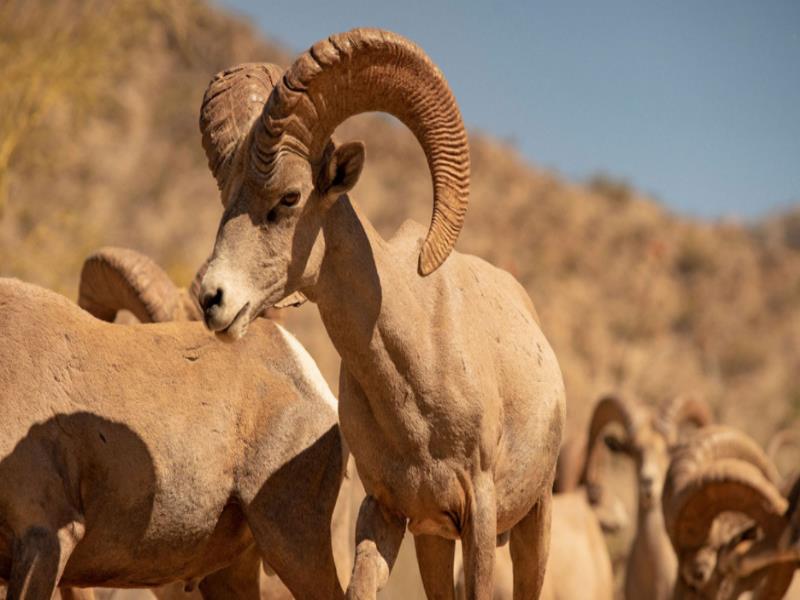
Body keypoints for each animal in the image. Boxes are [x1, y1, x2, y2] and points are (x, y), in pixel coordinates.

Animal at [197, 27, 564, 596]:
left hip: (534, 521)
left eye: (289, 197)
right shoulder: (387, 515)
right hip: (435, 542)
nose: (212, 297)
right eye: (226, 199)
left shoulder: (479, 515)